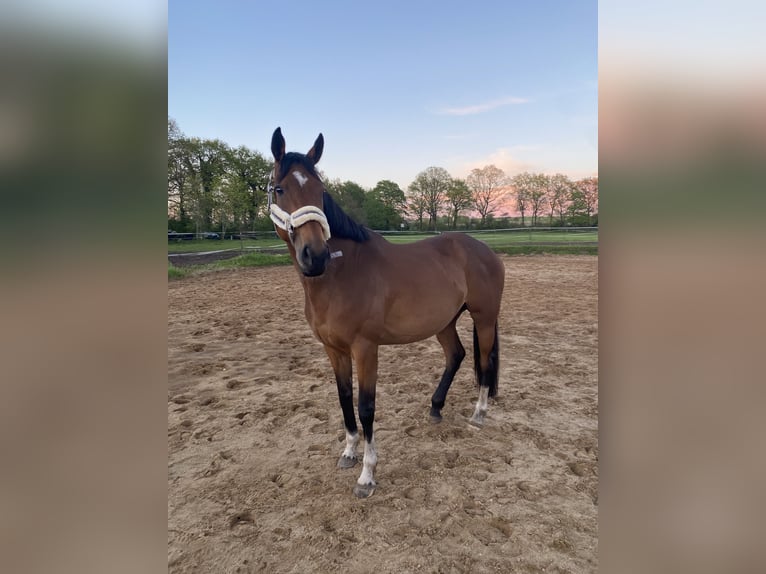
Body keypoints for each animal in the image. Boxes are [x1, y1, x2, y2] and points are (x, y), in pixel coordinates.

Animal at [268, 128, 504, 498]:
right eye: (280, 189)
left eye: (321, 191)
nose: (315, 256)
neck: (341, 273)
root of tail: (483, 250)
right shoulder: (334, 349)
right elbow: (344, 398)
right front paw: (349, 452)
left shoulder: (365, 348)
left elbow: (366, 407)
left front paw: (367, 475)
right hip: (445, 322)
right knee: (457, 355)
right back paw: (435, 407)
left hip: (484, 317)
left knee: (484, 360)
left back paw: (479, 413)